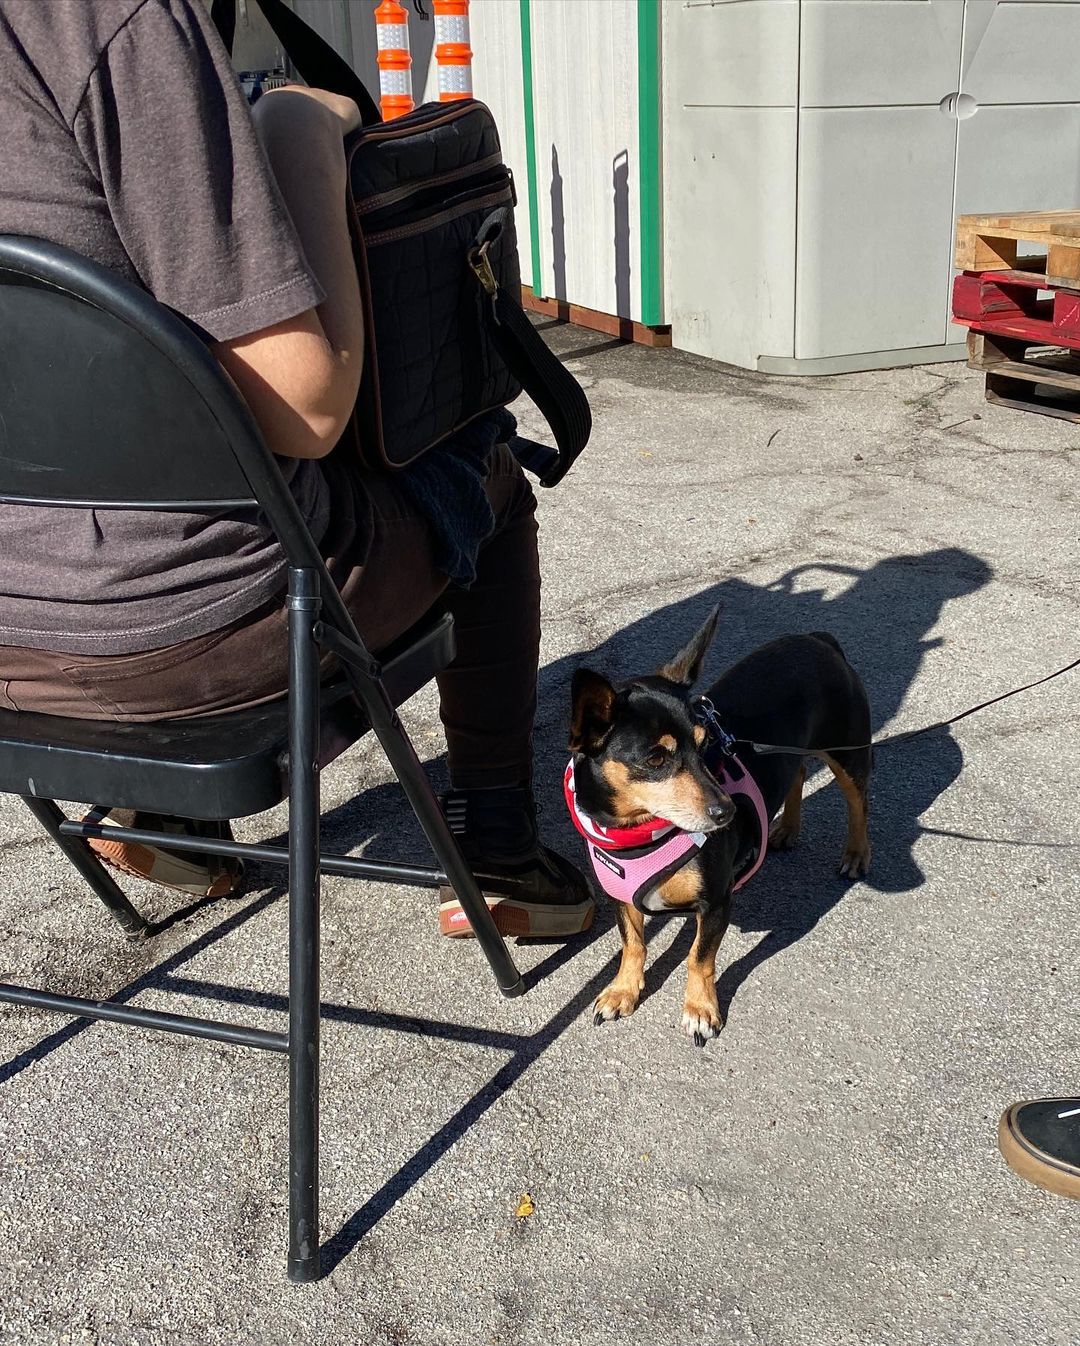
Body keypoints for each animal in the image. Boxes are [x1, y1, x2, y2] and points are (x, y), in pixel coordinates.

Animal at [568, 611, 872, 1039]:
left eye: (706, 743)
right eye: (656, 759)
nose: (726, 812)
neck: (642, 835)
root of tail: (817, 638)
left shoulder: (716, 902)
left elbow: (699, 957)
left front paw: (700, 1009)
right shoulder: (622, 899)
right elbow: (633, 944)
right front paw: (623, 990)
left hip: (848, 752)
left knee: (858, 802)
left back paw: (857, 853)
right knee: (796, 771)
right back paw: (786, 828)